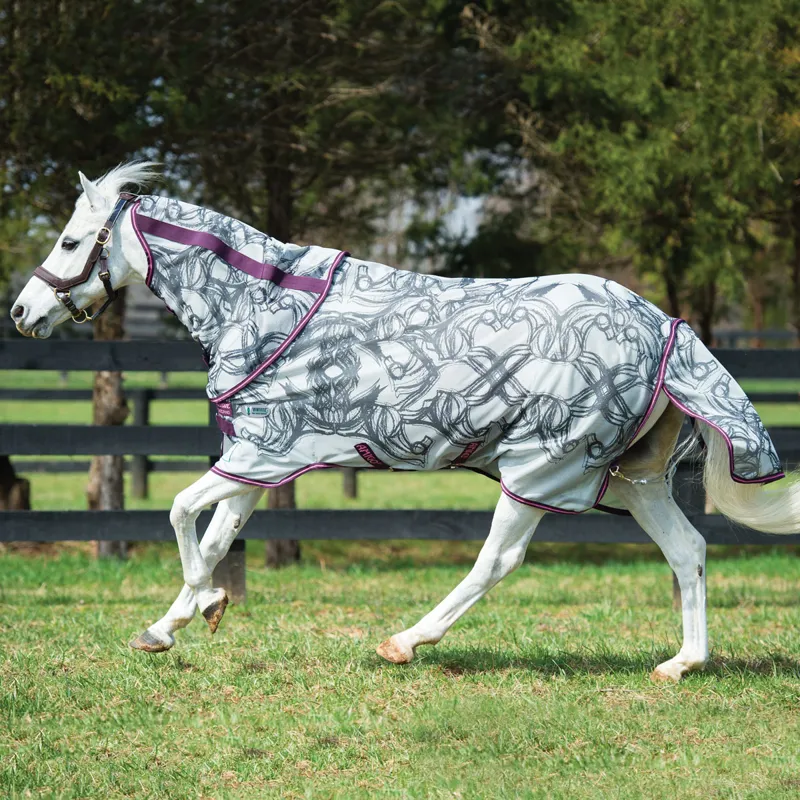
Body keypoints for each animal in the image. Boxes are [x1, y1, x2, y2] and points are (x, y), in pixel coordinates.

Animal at [10, 163, 798, 682]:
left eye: (72, 242)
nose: (21, 312)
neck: (262, 308)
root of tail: (663, 325)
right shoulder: (256, 459)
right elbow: (214, 537)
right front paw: (173, 624)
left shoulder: (265, 454)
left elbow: (179, 513)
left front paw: (201, 606)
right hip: (633, 480)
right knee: (689, 550)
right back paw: (681, 663)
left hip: (543, 468)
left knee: (497, 561)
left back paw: (404, 642)